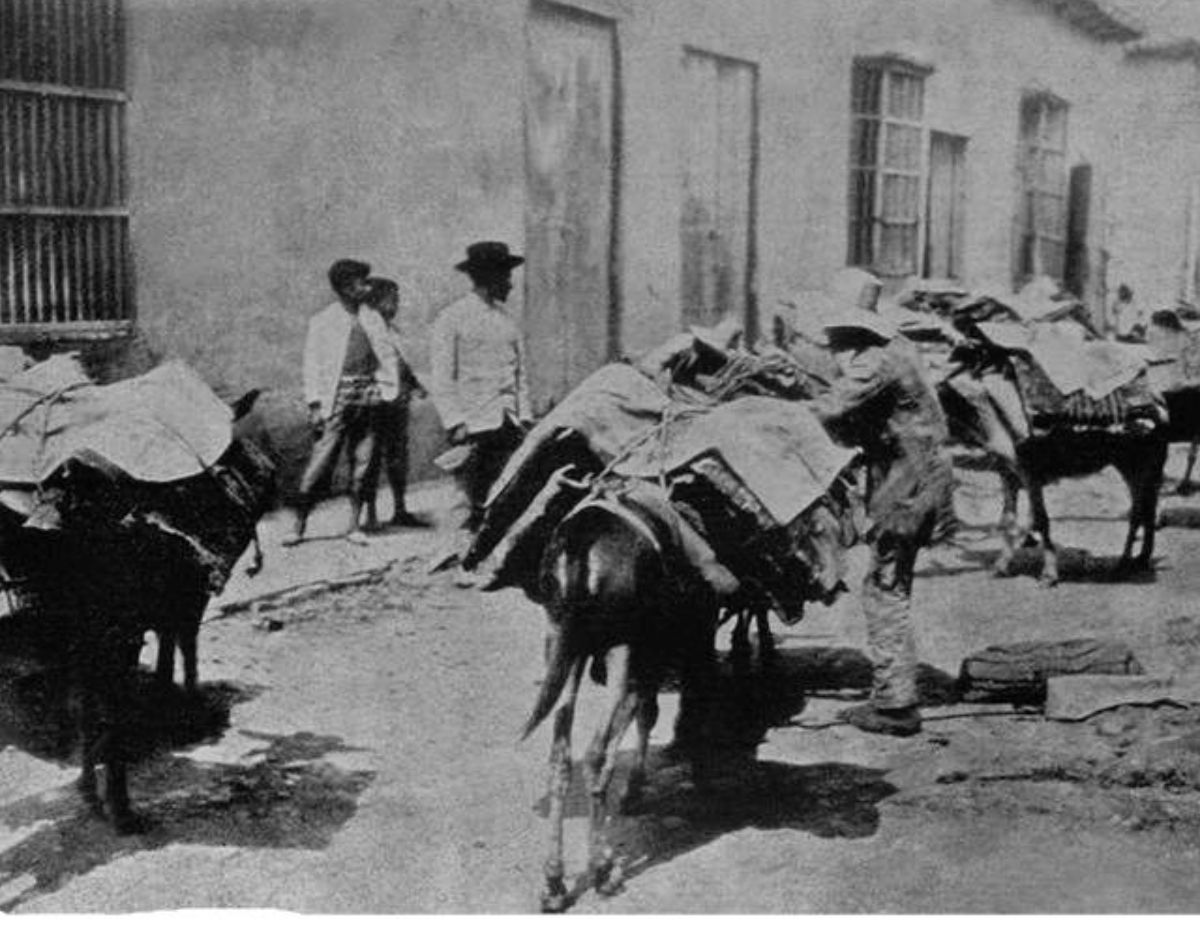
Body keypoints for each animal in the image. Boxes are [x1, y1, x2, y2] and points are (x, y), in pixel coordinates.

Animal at [522, 487, 845, 912]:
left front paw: (637, 788)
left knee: (561, 758)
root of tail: (581, 543)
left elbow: (646, 712)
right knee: (596, 754)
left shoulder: (655, 651)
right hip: (618, 647)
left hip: (563, 647)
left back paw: (555, 883)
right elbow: (679, 704)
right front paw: (692, 777)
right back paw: (602, 870)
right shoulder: (692, 637)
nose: (833, 587)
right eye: (812, 529)